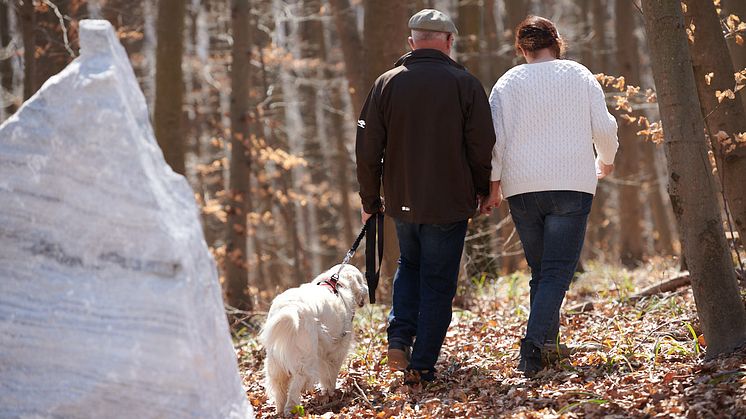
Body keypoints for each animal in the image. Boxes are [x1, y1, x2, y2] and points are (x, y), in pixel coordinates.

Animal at [260, 264, 368, 416]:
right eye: (361, 279)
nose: (367, 288)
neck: (339, 283)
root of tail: (290, 307)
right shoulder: (337, 350)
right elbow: (330, 375)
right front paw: (330, 392)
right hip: (305, 357)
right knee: (296, 384)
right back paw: (291, 410)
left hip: (275, 361)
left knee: (279, 387)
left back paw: (280, 410)